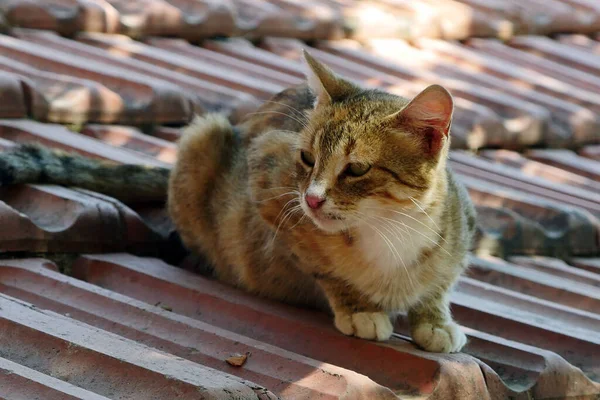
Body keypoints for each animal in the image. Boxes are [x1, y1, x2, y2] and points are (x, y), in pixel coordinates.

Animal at [0, 50, 478, 354]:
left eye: (357, 168)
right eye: (306, 158)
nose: (312, 200)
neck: (388, 230)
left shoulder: (462, 222)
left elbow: (441, 280)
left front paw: (435, 319)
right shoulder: (269, 185)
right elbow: (321, 266)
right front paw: (359, 307)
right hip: (203, 136)